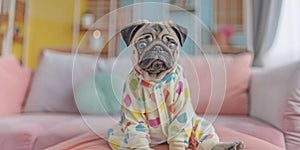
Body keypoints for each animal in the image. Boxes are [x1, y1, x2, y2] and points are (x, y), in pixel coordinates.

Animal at [106, 20, 243, 150]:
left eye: (171, 44)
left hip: (200, 124)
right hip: (116, 134)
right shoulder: (134, 112)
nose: (157, 48)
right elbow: (138, 134)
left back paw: (230, 145)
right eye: (142, 44)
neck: (156, 79)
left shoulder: (181, 110)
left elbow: (178, 135)